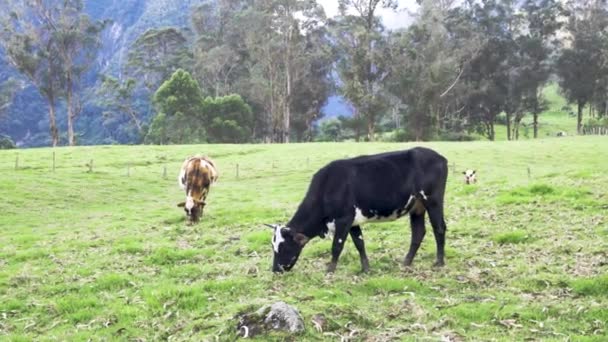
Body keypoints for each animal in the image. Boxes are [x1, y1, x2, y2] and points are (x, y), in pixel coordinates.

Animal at [268, 146, 448, 272]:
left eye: (283, 247)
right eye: (273, 246)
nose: (276, 270)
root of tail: (439, 157)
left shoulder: (343, 219)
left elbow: (337, 246)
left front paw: (330, 270)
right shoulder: (352, 221)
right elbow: (359, 243)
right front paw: (366, 269)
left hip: (433, 200)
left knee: (439, 228)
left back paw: (439, 262)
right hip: (417, 207)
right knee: (418, 232)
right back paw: (406, 262)